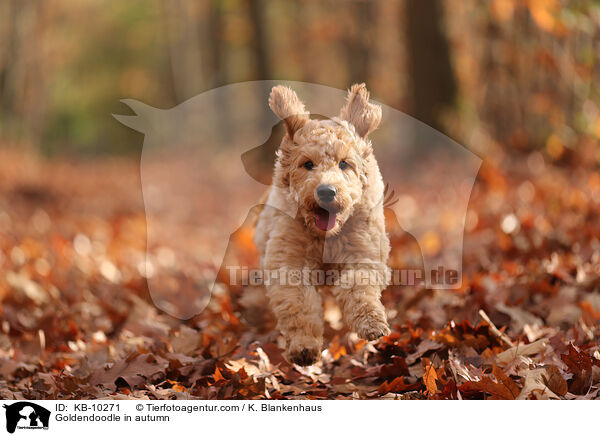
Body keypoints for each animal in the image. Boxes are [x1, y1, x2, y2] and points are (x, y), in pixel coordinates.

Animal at [251, 83, 392, 366]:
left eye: (344, 163)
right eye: (308, 164)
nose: (326, 191)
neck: (326, 235)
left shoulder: (364, 253)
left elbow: (359, 287)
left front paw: (372, 324)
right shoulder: (289, 263)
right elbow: (297, 303)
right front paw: (304, 346)